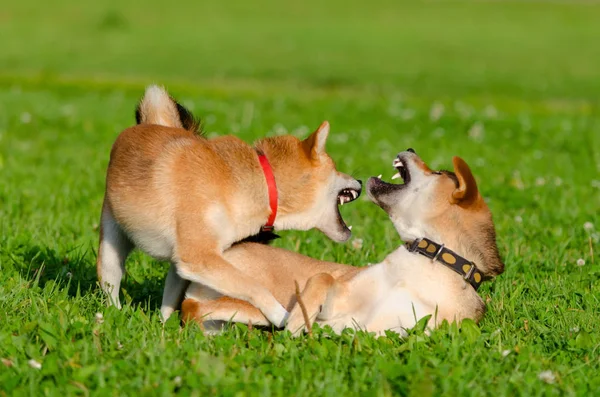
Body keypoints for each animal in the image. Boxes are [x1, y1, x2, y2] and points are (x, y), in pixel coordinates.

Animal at [98, 84, 360, 324]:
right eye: (336, 168)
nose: (359, 180)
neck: (263, 181)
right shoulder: (200, 258)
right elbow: (254, 287)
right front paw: (282, 316)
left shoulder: (202, 259)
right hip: (111, 246)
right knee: (110, 280)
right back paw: (114, 314)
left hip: (176, 263)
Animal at [180, 148, 504, 334]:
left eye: (437, 172)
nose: (411, 147)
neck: (430, 257)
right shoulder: (341, 291)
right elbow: (323, 278)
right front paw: (299, 320)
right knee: (192, 308)